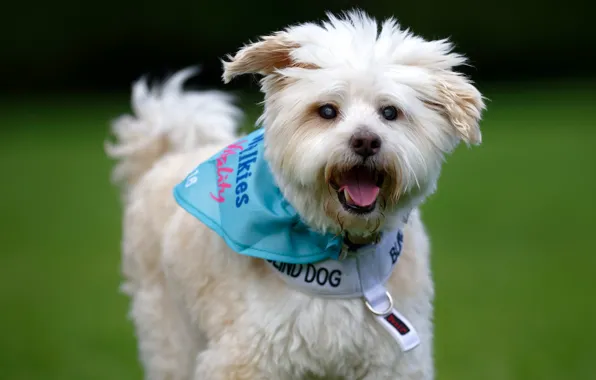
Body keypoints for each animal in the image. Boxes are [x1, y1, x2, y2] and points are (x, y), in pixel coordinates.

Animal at [106, 9, 484, 380]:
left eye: (390, 112)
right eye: (327, 110)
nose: (365, 141)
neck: (341, 254)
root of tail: (167, 157)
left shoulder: (391, 363)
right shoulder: (245, 358)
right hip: (169, 333)